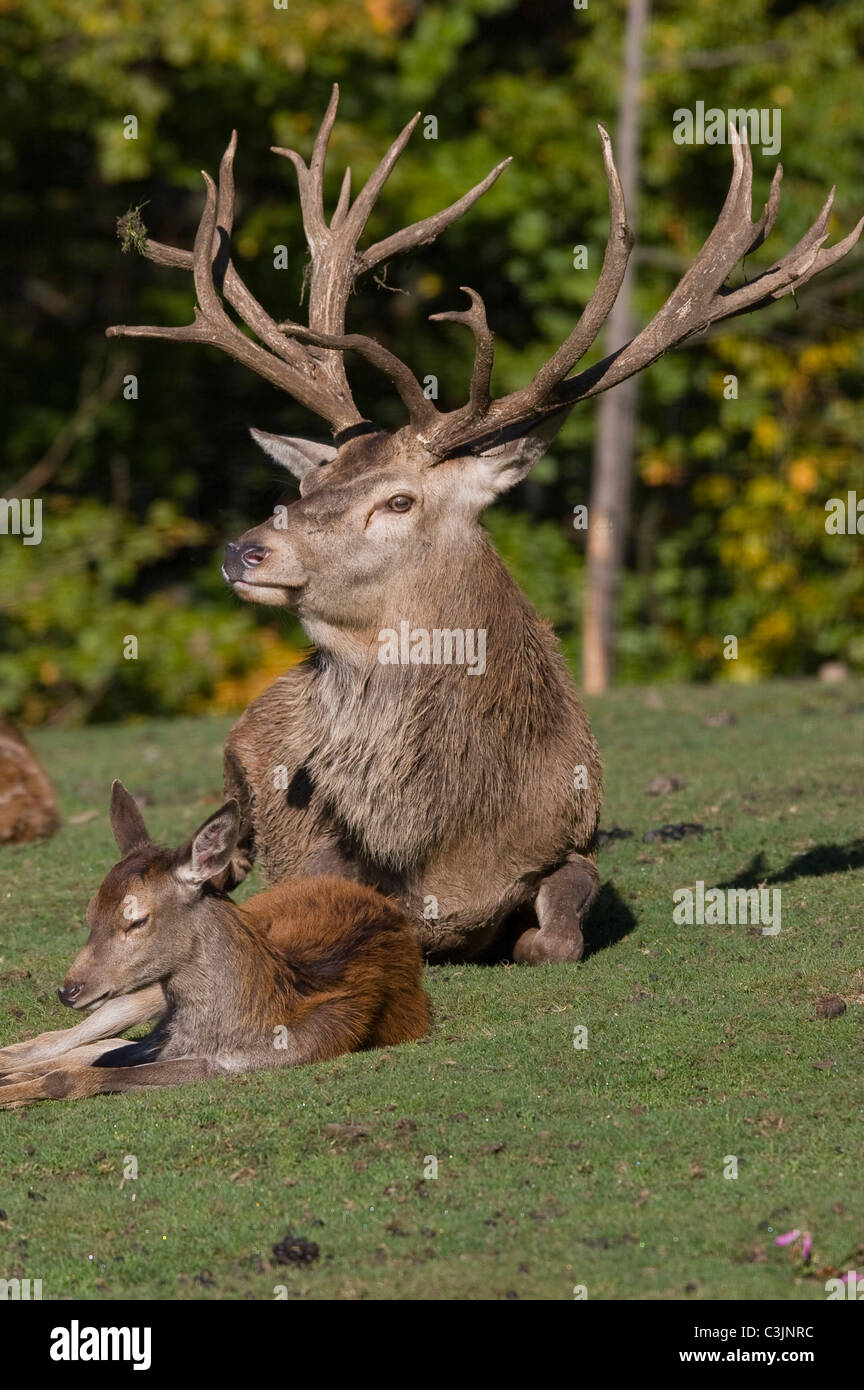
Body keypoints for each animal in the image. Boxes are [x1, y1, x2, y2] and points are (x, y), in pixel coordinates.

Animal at [0, 789, 430, 1100]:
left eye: (136, 919)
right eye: (90, 912)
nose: (68, 989)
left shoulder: (223, 1063)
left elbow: (72, 1074)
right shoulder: (162, 1039)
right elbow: (77, 1060)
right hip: (142, 996)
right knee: (57, 1040)